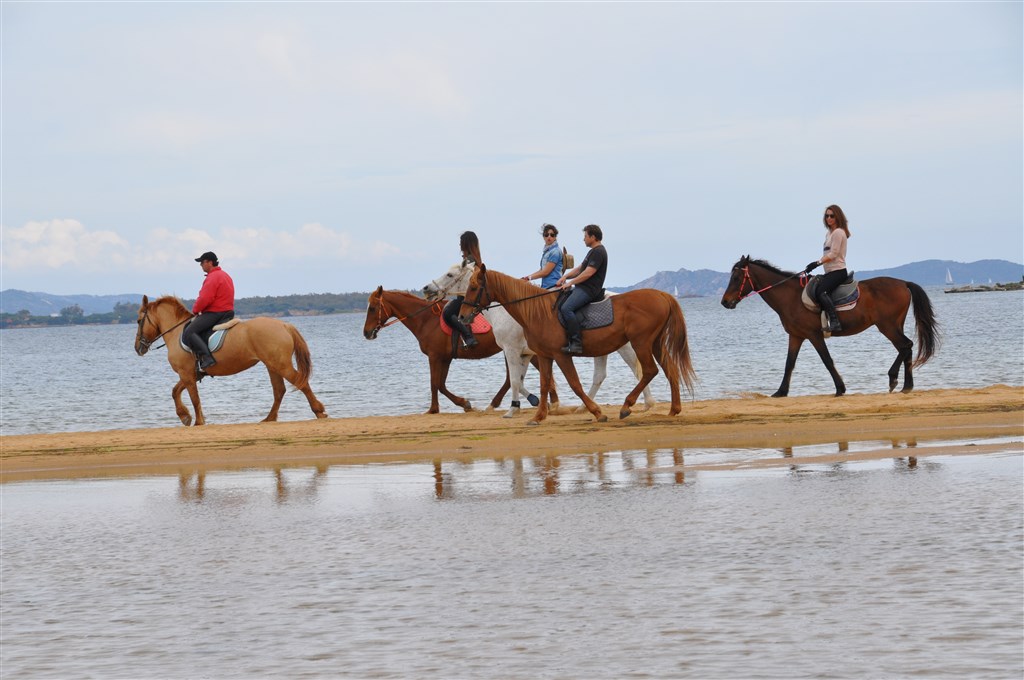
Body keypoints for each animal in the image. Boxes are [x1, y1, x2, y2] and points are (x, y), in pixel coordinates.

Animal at [132, 292, 323, 426]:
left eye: (139, 320)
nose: (137, 348)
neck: (176, 333)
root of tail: (284, 324)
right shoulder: (189, 374)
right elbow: (175, 391)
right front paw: (185, 416)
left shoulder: (185, 373)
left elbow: (194, 398)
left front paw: (197, 421)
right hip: (272, 365)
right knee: (279, 390)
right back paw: (269, 418)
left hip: (280, 365)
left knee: (300, 382)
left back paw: (319, 410)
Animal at [364, 286, 565, 413]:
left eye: (373, 308)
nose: (366, 333)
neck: (426, 319)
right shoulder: (445, 358)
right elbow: (441, 384)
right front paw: (463, 404)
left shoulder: (434, 356)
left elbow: (434, 383)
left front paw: (435, 409)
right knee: (514, 378)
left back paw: (550, 402)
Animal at [423, 262, 655, 417]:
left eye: (450, 274)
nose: (427, 288)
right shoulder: (527, 353)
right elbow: (520, 380)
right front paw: (533, 403)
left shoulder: (512, 350)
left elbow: (515, 379)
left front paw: (515, 408)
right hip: (603, 348)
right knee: (601, 376)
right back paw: (586, 406)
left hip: (625, 346)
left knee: (637, 369)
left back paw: (644, 403)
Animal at [462, 266, 696, 426]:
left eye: (473, 287)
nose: (462, 316)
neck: (537, 311)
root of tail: (662, 295)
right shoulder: (544, 355)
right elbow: (544, 384)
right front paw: (538, 416)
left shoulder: (560, 354)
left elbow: (574, 383)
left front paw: (597, 412)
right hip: (655, 343)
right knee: (669, 369)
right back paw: (674, 409)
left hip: (640, 343)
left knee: (649, 370)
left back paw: (626, 406)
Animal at [716, 256, 937, 395]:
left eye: (736, 277)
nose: (725, 302)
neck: (790, 297)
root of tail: (903, 283)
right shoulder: (796, 336)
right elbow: (789, 363)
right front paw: (780, 392)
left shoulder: (814, 335)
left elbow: (827, 360)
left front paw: (840, 388)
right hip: (893, 325)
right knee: (906, 348)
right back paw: (904, 384)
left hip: (887, 326)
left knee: (906, 346)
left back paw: (897, 380)